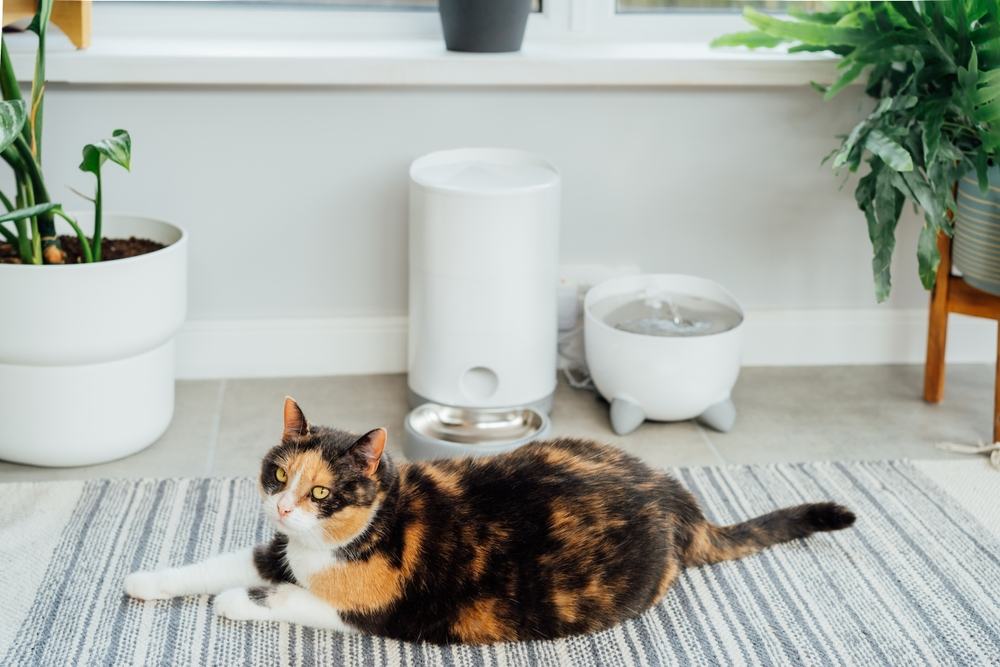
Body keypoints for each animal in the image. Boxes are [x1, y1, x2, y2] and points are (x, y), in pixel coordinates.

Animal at [125, 400, 856, 644]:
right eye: (280, 475)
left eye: (324, 491)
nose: (280, 506)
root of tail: (680, 498)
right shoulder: (278, 549)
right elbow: (216, 562)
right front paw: (144, 580)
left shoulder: (377, 612)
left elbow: (276, 598)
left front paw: (230, 601)